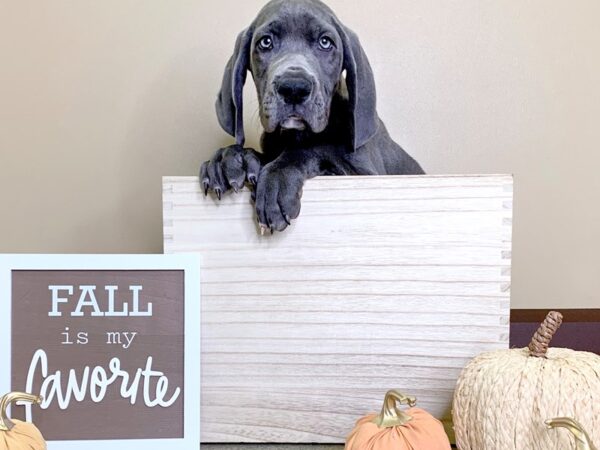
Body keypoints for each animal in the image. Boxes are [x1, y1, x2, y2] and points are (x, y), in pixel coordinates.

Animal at [200, 0, 422, 232]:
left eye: (325, 42)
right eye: (265, 42)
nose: (294, 88)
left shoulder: (366, 175)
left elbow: (313, 150)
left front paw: (276, 179)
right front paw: (230, 159)